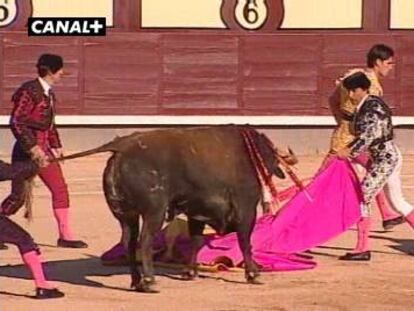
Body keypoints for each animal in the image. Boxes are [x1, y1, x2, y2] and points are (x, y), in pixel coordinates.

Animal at [58, 125, 288, 294]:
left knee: (129, 243)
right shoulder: (246, 208)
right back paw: (149, 282)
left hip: (125, 214)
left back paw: (137, 281)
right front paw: (253, 274)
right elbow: (245, 241)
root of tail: (122, 145)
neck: (249, 152)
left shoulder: (197, 211)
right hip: (154, 211)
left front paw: (190, 272)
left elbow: (196, 240)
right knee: (145, 241)